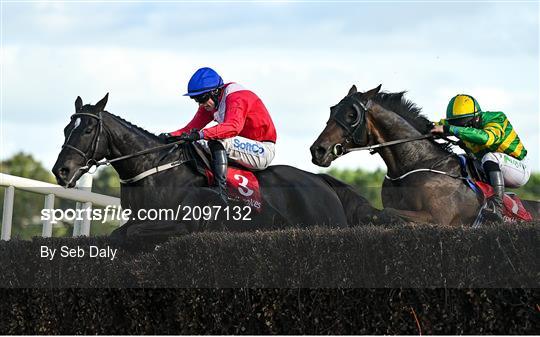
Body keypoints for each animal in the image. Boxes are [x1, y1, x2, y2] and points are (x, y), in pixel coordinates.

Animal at [51, 93, 388, 240]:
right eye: (66, 128)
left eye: (87, 130)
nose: (61, 171)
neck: (158, 171)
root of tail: (321, 182)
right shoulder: (138, 220)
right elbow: (118, 235)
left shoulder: (182, 224)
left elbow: (127, 235)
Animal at [310, 84, 536, 226]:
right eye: (332, 111)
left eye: (351, 115)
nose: (318, 150)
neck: (413, 165)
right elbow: (378, 213)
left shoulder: (438, 218)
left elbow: (389, 213)